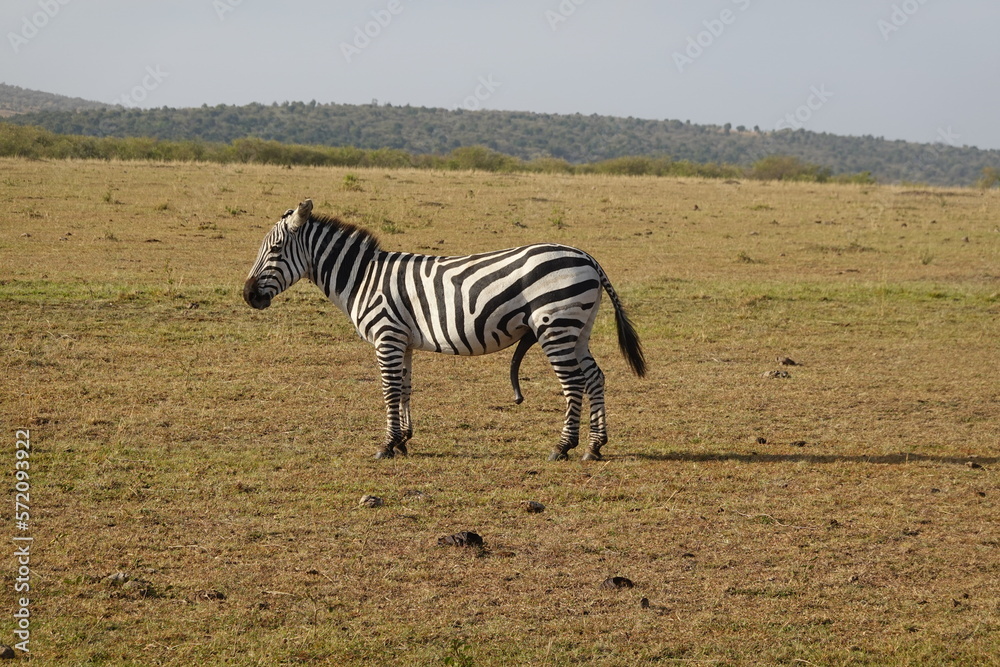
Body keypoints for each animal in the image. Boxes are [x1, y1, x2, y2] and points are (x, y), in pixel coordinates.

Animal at [243, 199, 646, 461]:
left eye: (275, 249)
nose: (248, 295)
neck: (362, 278)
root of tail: (587, 257)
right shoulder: (402, 340)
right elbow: (405, 388)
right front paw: (403, 440)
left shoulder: (387, 336)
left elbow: (389, 390)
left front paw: (386, 446)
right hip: (579, 327)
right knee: (595, 377)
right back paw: (595, 446)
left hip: (556, 325)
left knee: (574, 383)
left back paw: (563, 447)